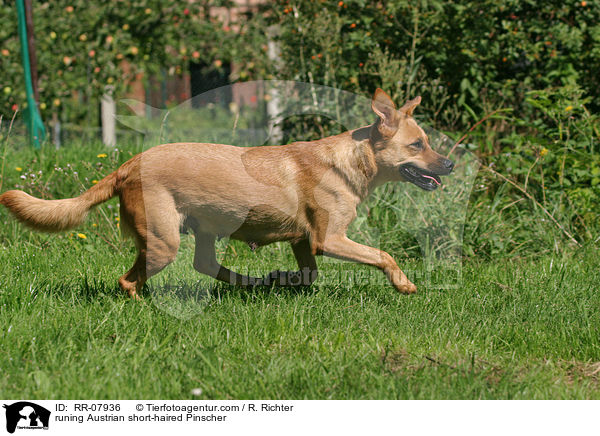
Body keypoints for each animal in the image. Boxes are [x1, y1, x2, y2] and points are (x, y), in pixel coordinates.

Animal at [0, 90, 452, 298]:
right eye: (418, 145)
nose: (448, 165)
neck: (351, 161)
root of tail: (127, 165)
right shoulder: (329, 239)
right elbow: (384, 255)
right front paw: (404, 284)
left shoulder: (304, 241)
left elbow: (308, 274)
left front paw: (286, 280)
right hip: (164, 242)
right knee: (129, 280)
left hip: (198, 231)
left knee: (206, 265)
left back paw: (251, 283)